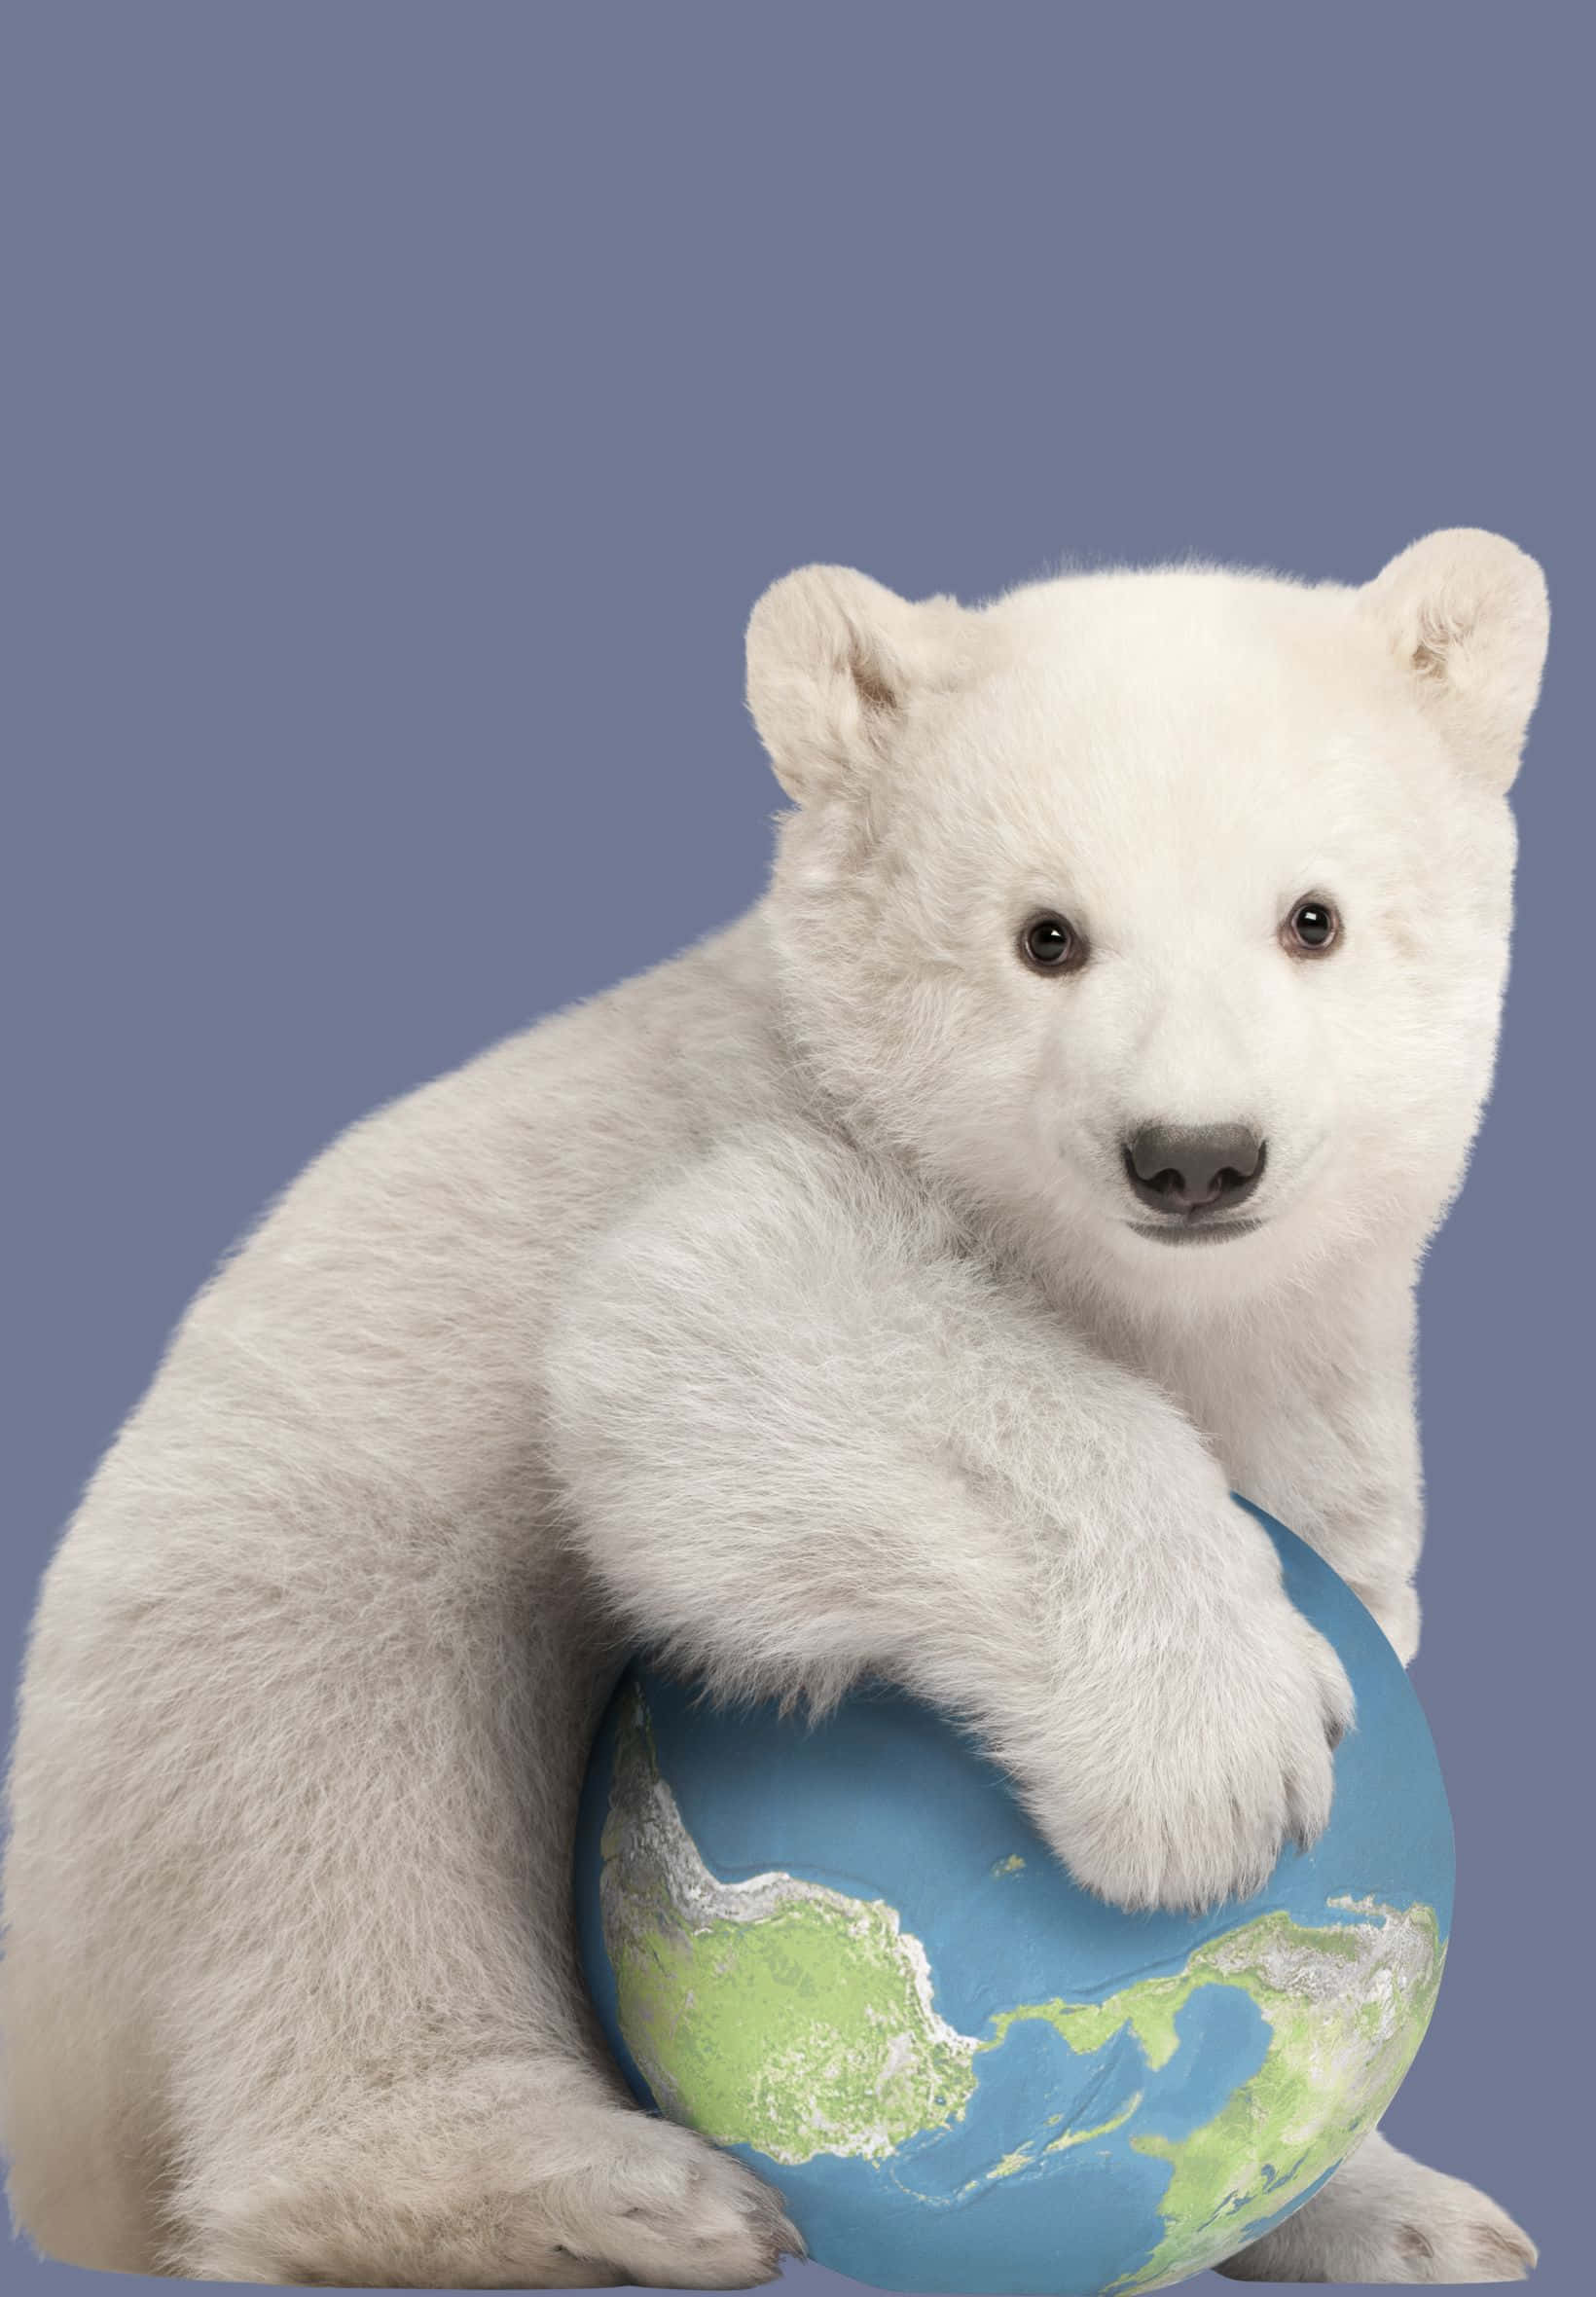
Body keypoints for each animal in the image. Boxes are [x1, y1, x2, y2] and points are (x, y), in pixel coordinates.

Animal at [0, 530, 1547, 2286]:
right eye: (1046, 935)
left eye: (1314, 918)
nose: (1195, 1155)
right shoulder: (722, 1140)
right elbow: (707, 1330)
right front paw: (1218, 1757)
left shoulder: (1307, 1379)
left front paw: (1387, 2199)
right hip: (237, 1626)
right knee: (332, 1798)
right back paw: (600, 2189)